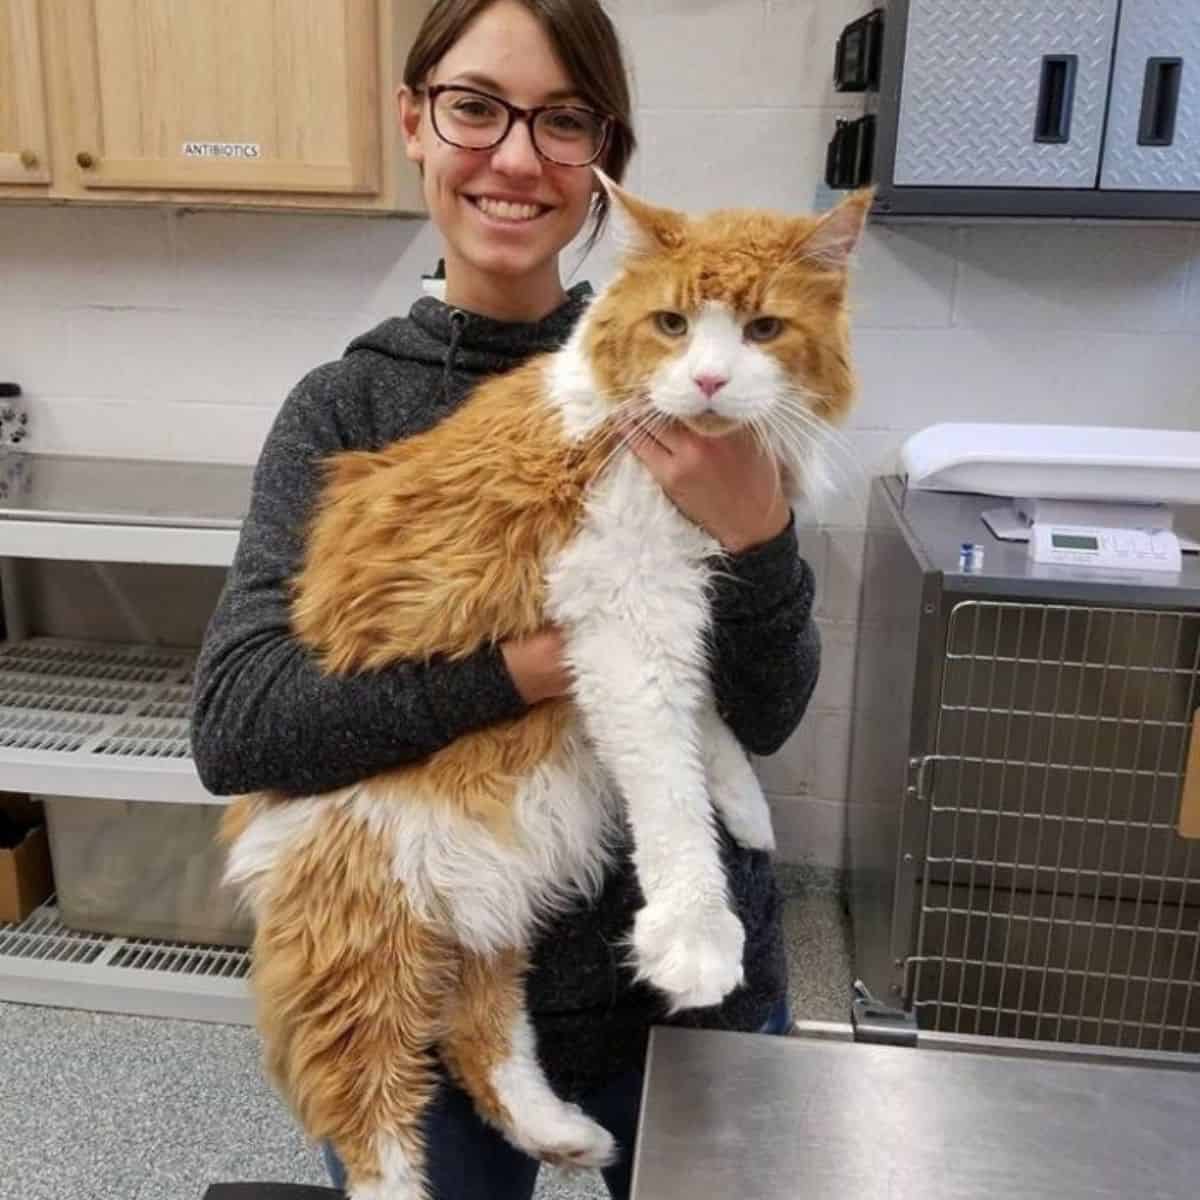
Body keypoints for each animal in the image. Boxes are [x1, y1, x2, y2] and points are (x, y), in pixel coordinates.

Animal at [218, 177, 873, 1200]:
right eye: (673, 323)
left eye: (764, 328)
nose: (710, 383)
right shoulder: (623, 609)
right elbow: (667, 785)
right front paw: (696, 934)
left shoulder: (668, 611)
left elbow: (707, 720)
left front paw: (746, 809)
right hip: (368, 915)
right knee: (369, 1103)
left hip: (485, 898)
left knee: (478, 1035)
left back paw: (565, 1135)